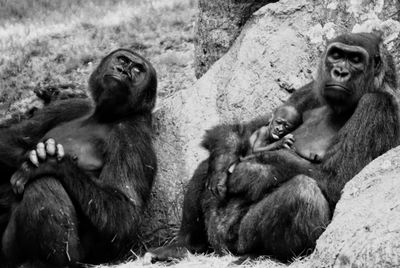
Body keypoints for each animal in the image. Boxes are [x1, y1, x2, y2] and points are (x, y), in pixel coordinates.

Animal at [0, 48, 158, 268]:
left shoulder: (133, 134)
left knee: (43, 183)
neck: (104, 116)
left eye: (137, 70)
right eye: (122, 60)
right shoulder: (70, 106)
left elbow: (125, 212)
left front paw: (49, 162)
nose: (123, 71)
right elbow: (9, 137)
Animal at [146, 31, 400, 262]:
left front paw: (248, 172)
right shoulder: (311, 89)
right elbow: (241, 131)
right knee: (208, 163)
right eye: (336, 55)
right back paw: (186, 244)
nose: (340, 72)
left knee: (302, 192)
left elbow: (336, 179)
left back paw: (262, 254)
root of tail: (221, 248)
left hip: (237, 240)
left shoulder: (377, 105)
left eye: (355, 59)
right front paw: (225, 160)